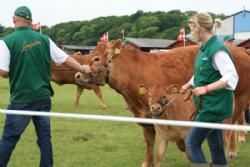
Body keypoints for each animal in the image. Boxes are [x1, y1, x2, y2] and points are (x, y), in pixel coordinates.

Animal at [75, 39, 250, 166]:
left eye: (96, 58)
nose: (77, 75)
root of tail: (239, 50)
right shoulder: (145, 117)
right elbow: (149, 142)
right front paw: (147, 163)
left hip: (237, 102)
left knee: (229, 130)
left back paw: (230, 152)